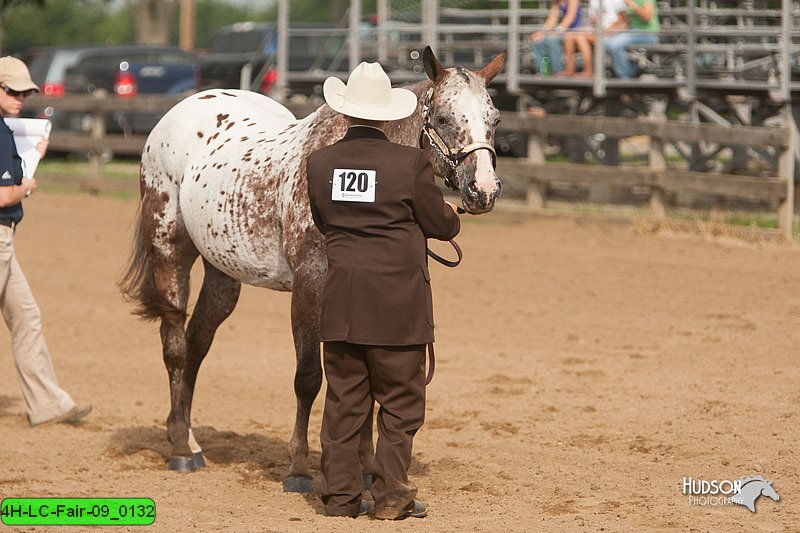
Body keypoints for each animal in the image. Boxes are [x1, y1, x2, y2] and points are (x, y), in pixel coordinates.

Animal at [119, 45, 506, 490]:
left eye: (495, 118)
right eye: (443, 117)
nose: (484, 190)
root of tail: (180, 111)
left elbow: (369, 385)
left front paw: (367, 470)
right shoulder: (310, 285)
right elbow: (307, 378)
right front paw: (299, 468)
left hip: (223, 271)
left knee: (198, 343)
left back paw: (189, 438)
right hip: (169, 250)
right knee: (176, 347)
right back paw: (181, 449)